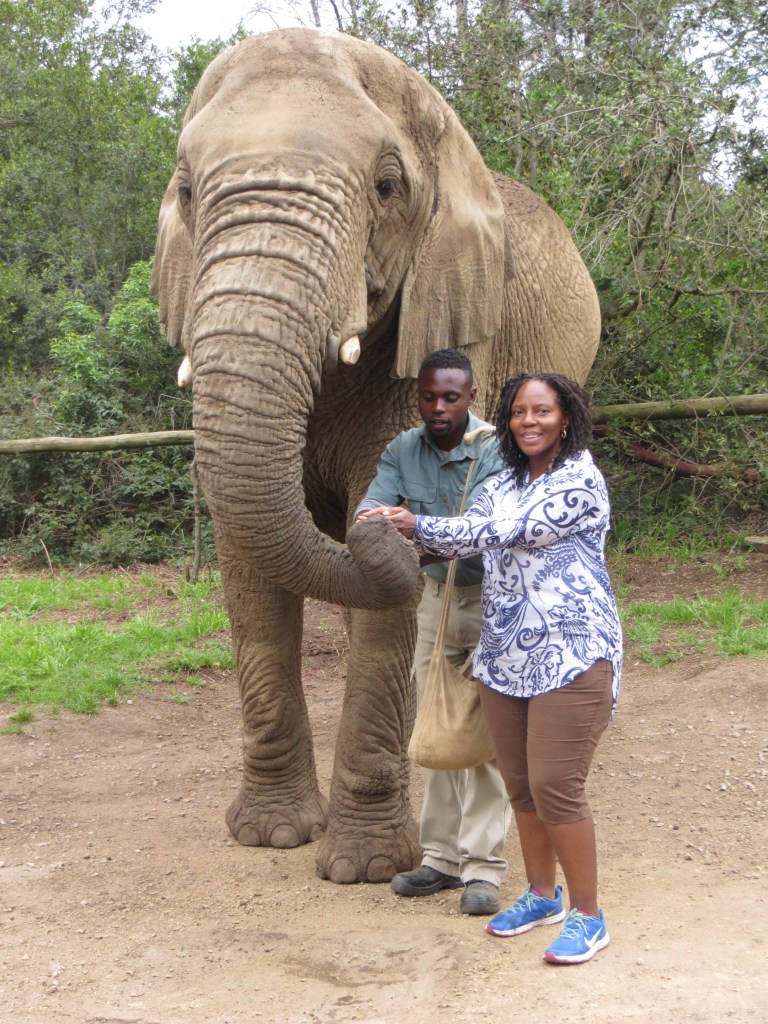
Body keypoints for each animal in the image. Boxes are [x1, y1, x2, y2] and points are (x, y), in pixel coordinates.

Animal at [151, 27, 601, 884]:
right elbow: (246, 564)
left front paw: (361, 868)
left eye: (387, 186)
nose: (387, 527)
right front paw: (270, 836)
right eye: (187, 191)